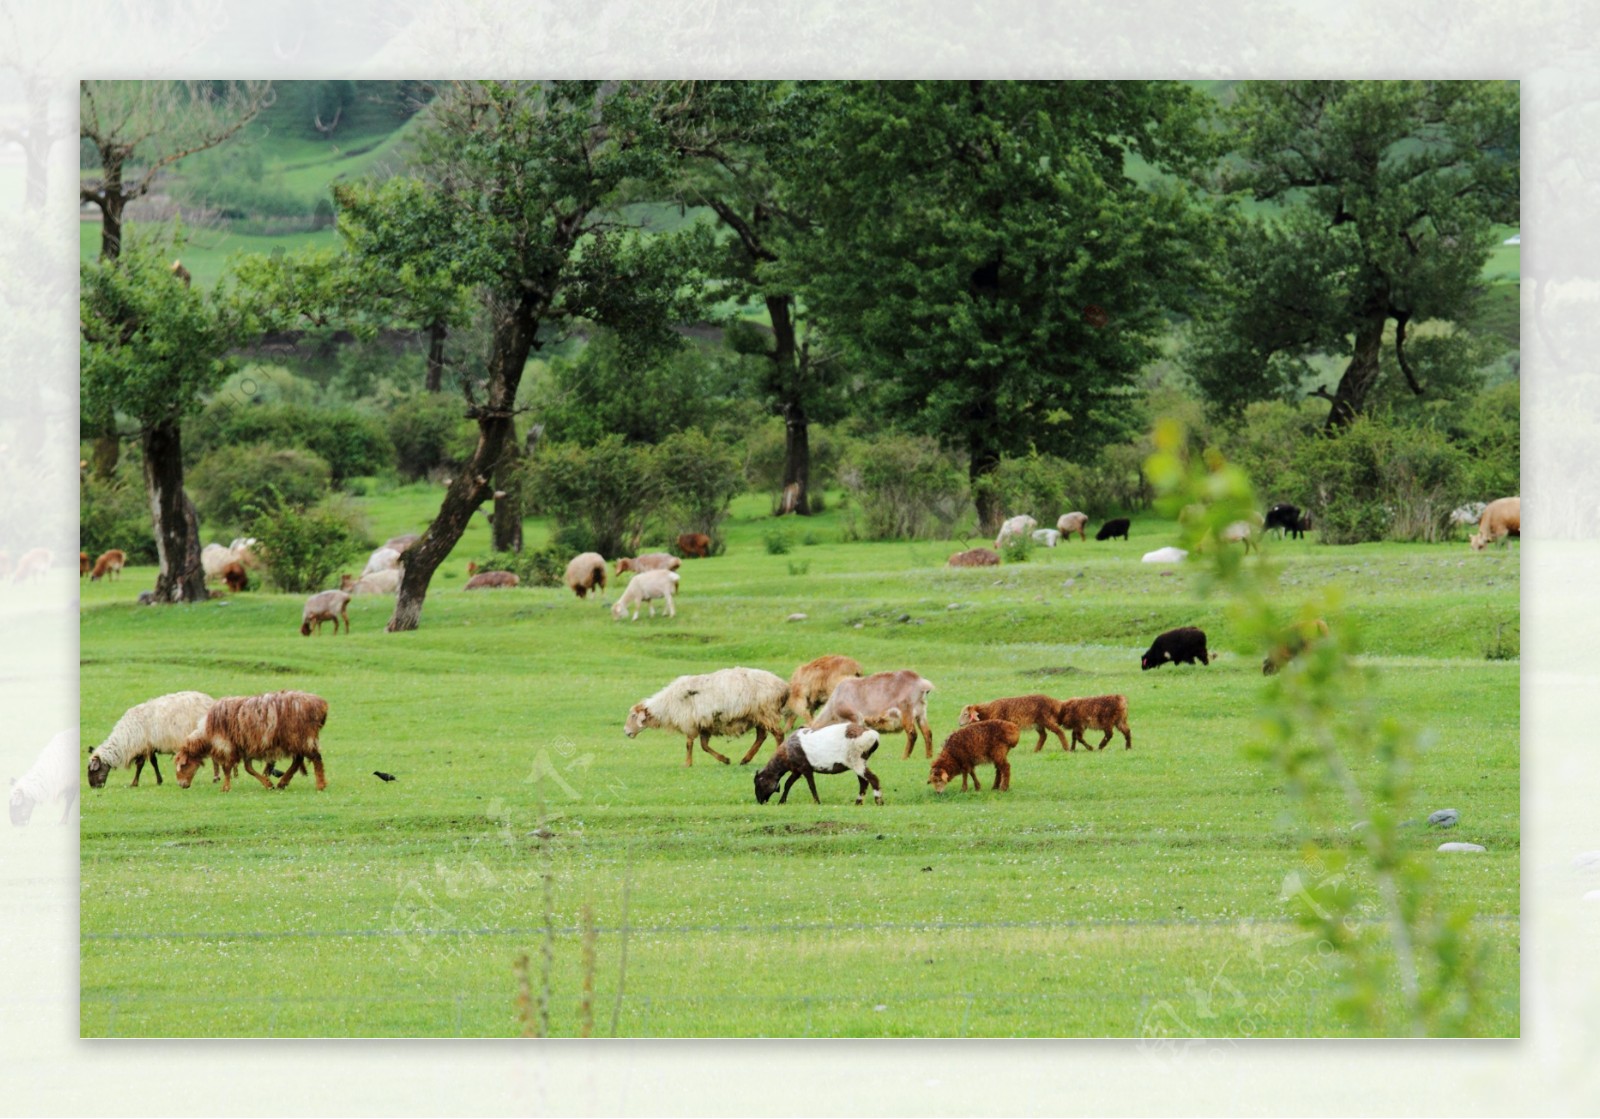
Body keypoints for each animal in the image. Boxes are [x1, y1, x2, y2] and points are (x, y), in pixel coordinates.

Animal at [174, 688, 328, 790]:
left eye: (183, 766)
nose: (182, 785)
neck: (206, 734)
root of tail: (320, 704)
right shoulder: (244, 747)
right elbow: (248, 768)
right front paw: (267, 783)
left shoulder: (226, 744)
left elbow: (227, 767)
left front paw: (225, 787)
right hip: (296, 740)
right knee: (298, 760)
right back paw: (282, 783)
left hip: (303, 737)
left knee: (316, 757)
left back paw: (320, 785)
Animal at [630, 669, 793, 765]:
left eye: (632, 716)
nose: (627, 732)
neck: (665, 705)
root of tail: (783, 686)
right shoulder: (704, 725)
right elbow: (704, 746)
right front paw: (725, 759)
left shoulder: (689, 723)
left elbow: (689, 744)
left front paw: (687, 764)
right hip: (758, 715)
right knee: (761, 736)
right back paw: (745, 759)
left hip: (766, 711)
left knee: (778, 734)